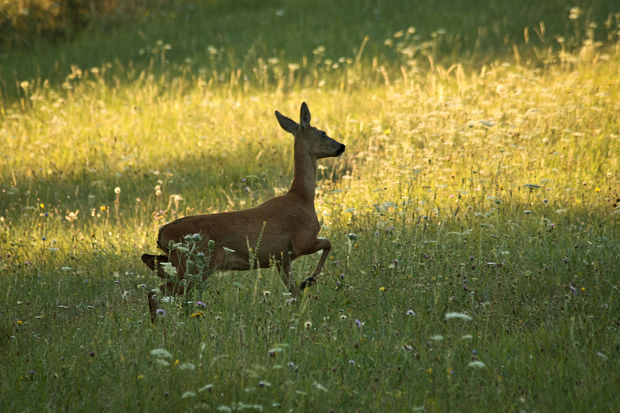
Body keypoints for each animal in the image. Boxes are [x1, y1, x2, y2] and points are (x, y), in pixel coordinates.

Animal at [142, 104, 344, 316]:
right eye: (323, 133)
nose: (341, 146)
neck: (302, 197)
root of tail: (163, 231)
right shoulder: (302, 241)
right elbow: (328, 244)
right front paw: (309, 280)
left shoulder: (282, 259)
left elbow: (294, 292)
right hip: (196, 265)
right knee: (155, 292)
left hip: (179, 263)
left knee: (152, 268)